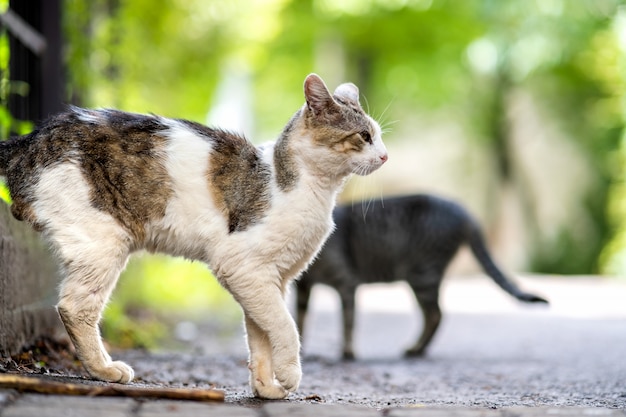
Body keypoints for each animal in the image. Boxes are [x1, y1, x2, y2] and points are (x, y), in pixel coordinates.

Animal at [0, 73, 386, 398]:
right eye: (364, 136)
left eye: (379, 135)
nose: (384, 155)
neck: (311, 190)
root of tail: (29, 139)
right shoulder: (243, 268)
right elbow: (285, 327)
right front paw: (290, 375)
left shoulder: (268, 280)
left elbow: (261, 336)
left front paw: (266, 388)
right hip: (103, 242)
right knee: (74, 307)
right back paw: (105, 370)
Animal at [294, 193, 544, 360]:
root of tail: (461, 208)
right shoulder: (303, 288)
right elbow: (301, 320)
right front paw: (301, 351)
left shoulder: (347, 283)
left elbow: (348, 321)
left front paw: (348, 352)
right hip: (421, 279)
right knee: (433, 315)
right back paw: (419, 348)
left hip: (422, 275)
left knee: (436, 314)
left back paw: (416, 349)